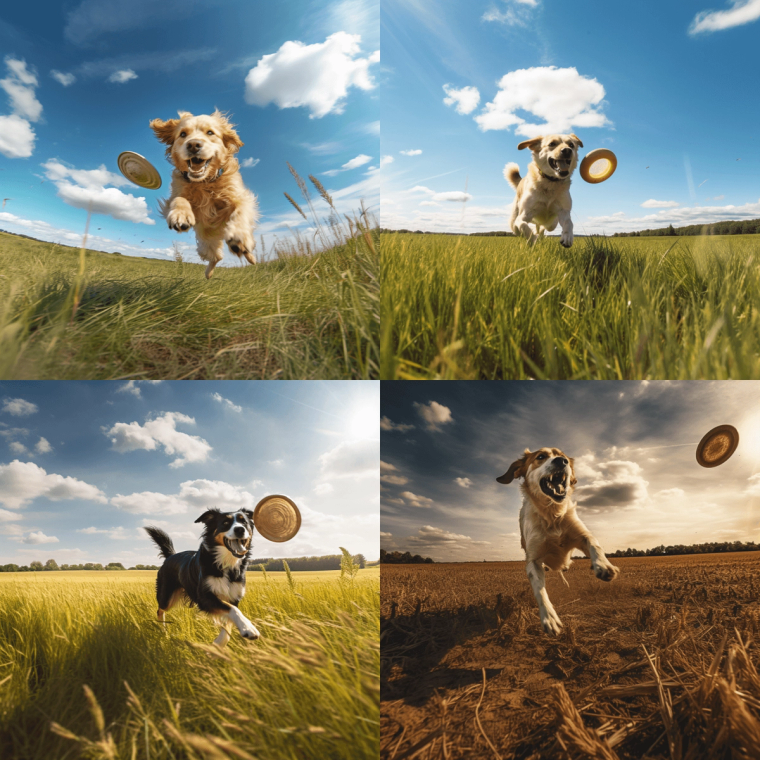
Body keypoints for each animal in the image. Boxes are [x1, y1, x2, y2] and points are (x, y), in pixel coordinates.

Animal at [145, 508, 262, 644]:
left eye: (244, 522)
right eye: (225, 523)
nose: (240, 529)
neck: (225, 562)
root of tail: (171, 555)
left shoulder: (234, 596)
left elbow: (229, 620)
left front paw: (219, 643)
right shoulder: (204, 596)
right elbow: (232, 609)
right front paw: (248, 628)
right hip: (166, 595)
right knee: (160, 610)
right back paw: (163, 631)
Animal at [148, 110, 262, 280]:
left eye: (210, 132)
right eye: (183, 134)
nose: (193, 144)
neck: (204, 182)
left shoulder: (239, 196)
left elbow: (240, 211)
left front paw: (239, 236)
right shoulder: (176, 195)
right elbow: (179, 199)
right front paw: (180, 215)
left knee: (235, 253)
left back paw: (249, 256)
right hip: (205, 246)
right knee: (216, 257)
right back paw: (208, 274)